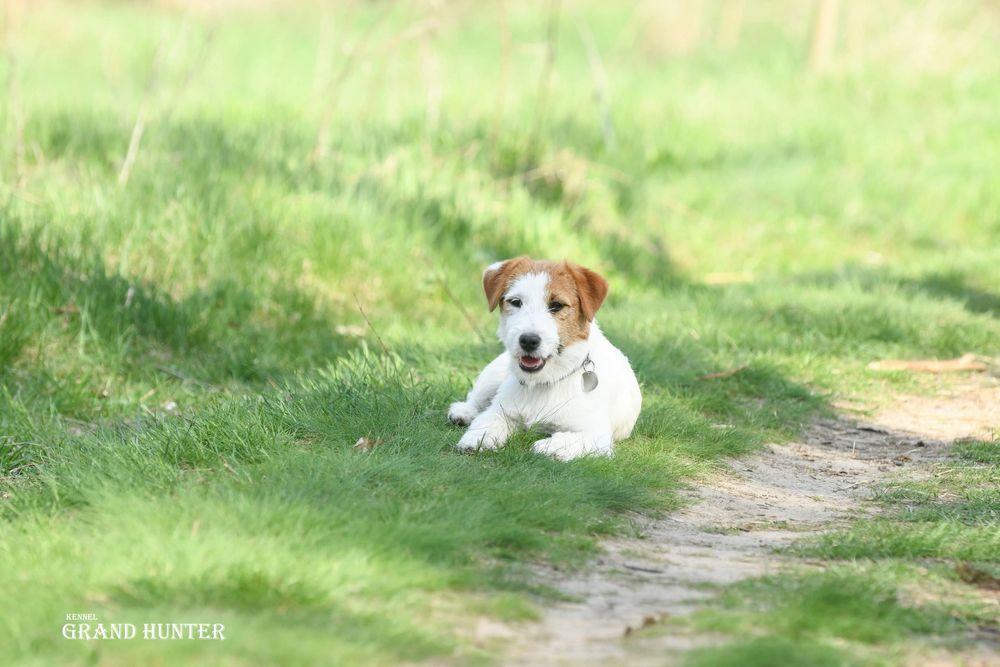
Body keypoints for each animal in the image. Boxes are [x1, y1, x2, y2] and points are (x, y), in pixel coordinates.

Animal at [446, 256, 640, 460]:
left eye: (557, 305)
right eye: (515, 302)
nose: (528, 340)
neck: (545, 381)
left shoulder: (596, 436)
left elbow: (563, 440)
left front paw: (546, 446)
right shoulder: (502, 411)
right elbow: (488, 421)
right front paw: (475, 439)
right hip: (494, 374)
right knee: (477, 398)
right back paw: (464, 412)